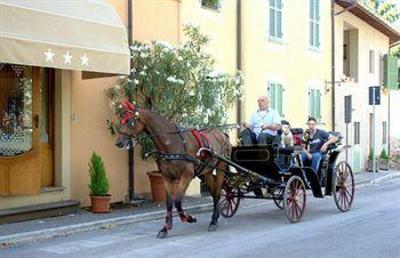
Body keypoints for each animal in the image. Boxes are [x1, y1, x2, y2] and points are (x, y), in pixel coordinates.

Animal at [114, 101, 231, 238]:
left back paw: (213, 221)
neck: (172, 143)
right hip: (206, 172)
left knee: (217, 192)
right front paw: (165, 228)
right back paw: (215, 218)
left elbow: (178, 201)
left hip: (221, 168)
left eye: (130, 121)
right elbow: (169, 203)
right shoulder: (166, 177)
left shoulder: (186, 176)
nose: (119, 143)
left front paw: (188, 218)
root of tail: (222, 134)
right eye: (121, 120)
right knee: (214, 193)